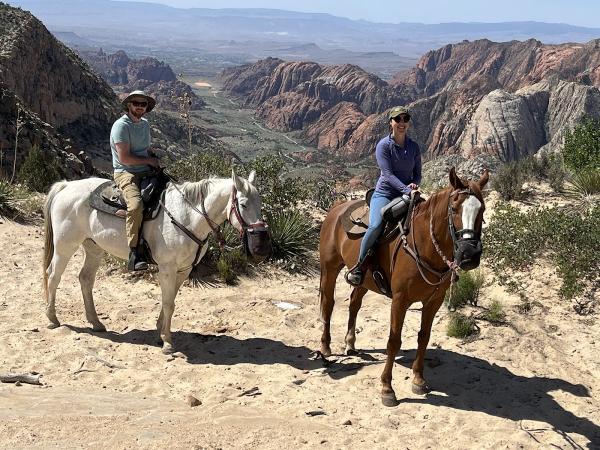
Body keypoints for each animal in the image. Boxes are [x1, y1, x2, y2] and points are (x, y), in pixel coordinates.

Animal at [41, 171, 268, 354]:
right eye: (244, 204)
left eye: (260, 203)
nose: (260, 245)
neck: (187, 217)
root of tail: (66, 186)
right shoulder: (167, 268)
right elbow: (168, 303)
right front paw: (167, 342)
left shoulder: (184, 270)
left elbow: (170, 300)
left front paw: (160, 333)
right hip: (65, 246)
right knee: (53, 275)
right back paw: (52, 318)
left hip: (93, 247)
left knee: (85, 279)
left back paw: (96, 322)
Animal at [318, 167, 488, 406]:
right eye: (454, 208)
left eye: (482, 209)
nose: (469, 254)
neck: (425, 246)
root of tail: (337, 207)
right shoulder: (400, 300)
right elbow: (394, 341)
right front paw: (387, 389)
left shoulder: (433, 302)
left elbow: (424, 337)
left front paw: (418, 380)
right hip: (329, 269)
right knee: (328, 303)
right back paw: (325, 347)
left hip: (364, 280)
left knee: (354, 303)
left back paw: (350, 344)